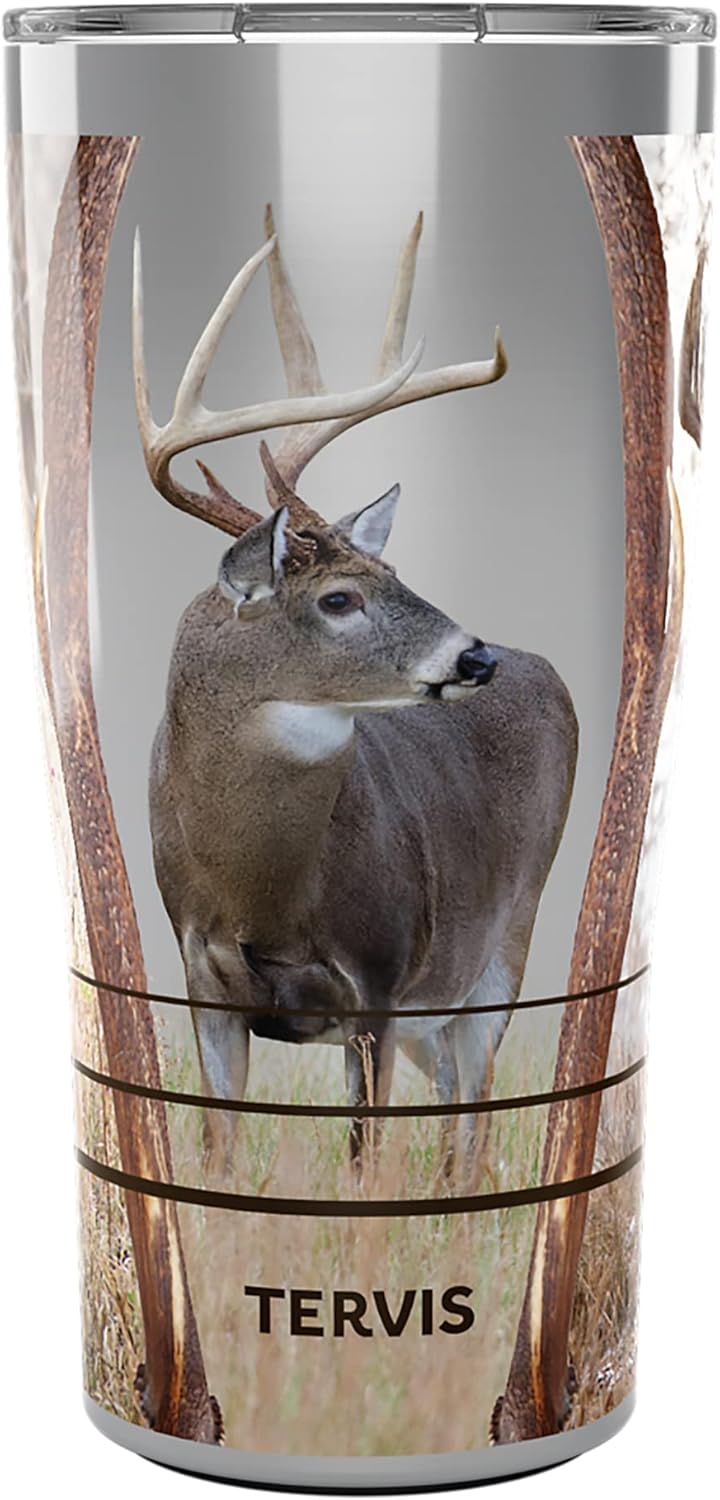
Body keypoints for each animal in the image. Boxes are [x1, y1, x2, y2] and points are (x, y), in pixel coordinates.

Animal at [132, 206, 578, 1186]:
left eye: (395, 570)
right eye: (339, 598)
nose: (476, 656)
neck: (260, 888)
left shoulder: (379, 975)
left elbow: (361, 1164)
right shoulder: (201, 982)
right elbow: (218, 1157)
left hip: (500, 946)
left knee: (473, 1117)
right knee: (453, 1100)